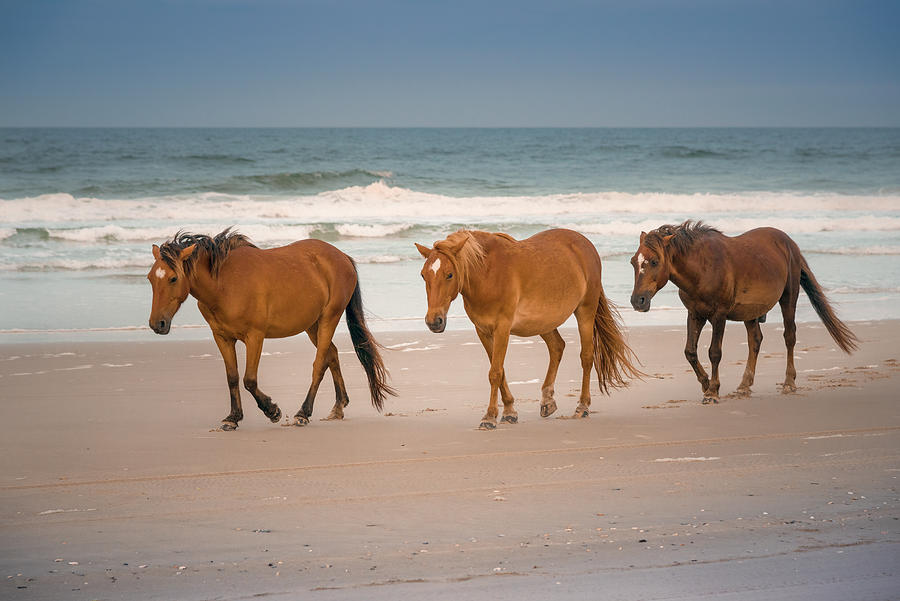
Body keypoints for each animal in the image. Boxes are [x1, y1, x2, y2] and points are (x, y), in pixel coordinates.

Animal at [148, 227, 394, 428]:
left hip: (328, 319)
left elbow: (249, 379)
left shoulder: (255, 336)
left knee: (319, 364)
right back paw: (338, 407)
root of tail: (342, 257)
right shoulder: (222, 337)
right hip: (312, 325)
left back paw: (303, 413)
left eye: (173, 278)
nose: (157, 324)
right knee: (331, 354)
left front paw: (272, 411)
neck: (224, 284)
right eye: (150, 278)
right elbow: (232, 377)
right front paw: (232, 418)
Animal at [414, 227, 640, 428]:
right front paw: (509, 412)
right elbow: (500, 371)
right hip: (544, 322)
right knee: (557, 347)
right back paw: (548, 401)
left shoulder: (502, 329)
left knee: (586, 356)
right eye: (424, 275)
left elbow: (495, 372)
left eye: (449, 275)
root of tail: (585, 244)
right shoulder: (483, 332)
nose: (434, 321)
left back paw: (582, 406)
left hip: (585, 311)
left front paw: (490, 417)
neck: (487, 274)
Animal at [628, 220, 860, 404]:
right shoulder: (695, 314)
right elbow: (690, 352)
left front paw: (712, 392)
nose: (638, 301)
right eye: (633, 262)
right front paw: (705, 383)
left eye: (655, 261)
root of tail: (790, 244)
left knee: (789, 337)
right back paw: (744, 385)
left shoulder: (719, 315)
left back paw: (788, 383)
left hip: (788, 298)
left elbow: (714, 352)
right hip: (751, 311)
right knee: (755, 340)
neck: (702, 268)